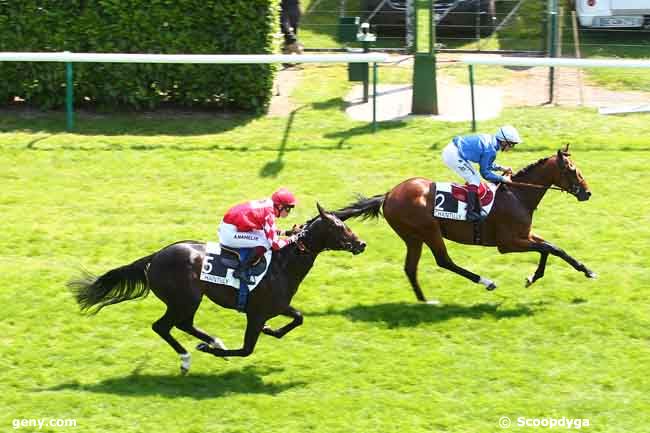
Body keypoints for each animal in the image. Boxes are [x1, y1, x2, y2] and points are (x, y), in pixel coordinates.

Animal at [334, 147, 592, 302]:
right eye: (572, 170)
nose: (587, 193)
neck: (518, 195)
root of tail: (388, 195)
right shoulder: (508, 243)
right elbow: (549, 248)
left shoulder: (525, 235)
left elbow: (553, 248)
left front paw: (580, 270)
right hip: (428, 231)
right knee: (444, 261)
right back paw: (486, 282)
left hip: (413, 237)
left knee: (410, 268)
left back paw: (425, 301)